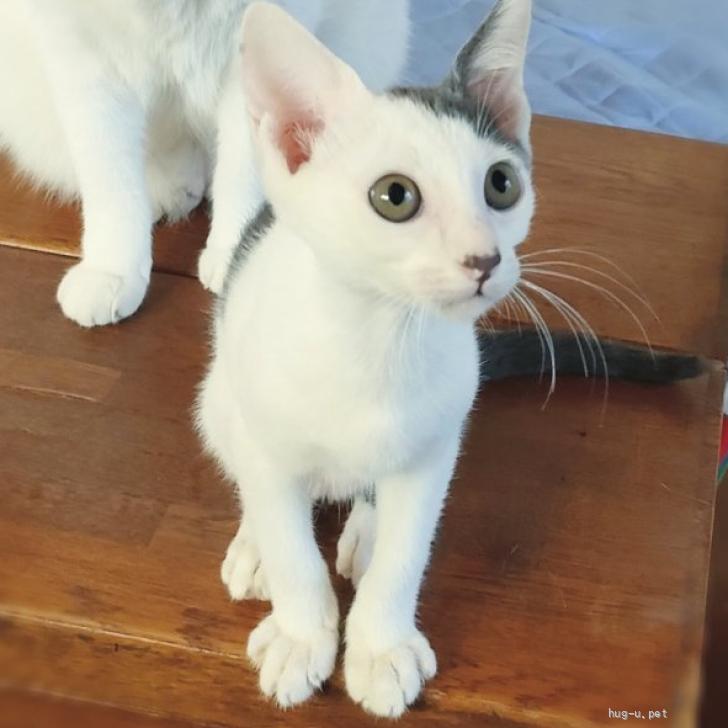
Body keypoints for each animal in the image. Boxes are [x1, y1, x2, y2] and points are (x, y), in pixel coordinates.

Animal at [0, 0, 409, 326]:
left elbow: (241, 174)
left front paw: (238, 250)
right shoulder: (87, 65)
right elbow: (111, 185)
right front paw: (111, 268)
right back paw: (169, 191)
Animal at [196, 0, 702, 718]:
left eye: (501, 184)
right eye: (395, 196)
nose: (484, 259)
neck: (380, 336)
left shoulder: (437, 446)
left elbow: (408, 550)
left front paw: (380, 645)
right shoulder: (266, 434)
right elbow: (290, 536)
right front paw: (301, 631)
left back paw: (366, 528)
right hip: (219, 396)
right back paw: (256, 544)